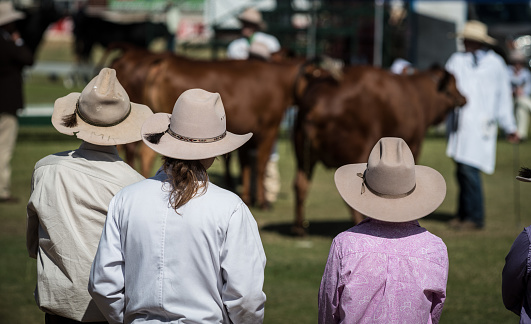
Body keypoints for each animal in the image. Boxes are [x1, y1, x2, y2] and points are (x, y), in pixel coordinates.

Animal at [294, 64, 468, 235]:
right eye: (453, 84)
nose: (463, 98)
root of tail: (318, 102)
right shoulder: (415, 144)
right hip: (358, 151)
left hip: (303, 155)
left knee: (300, 184)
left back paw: (299, 228)